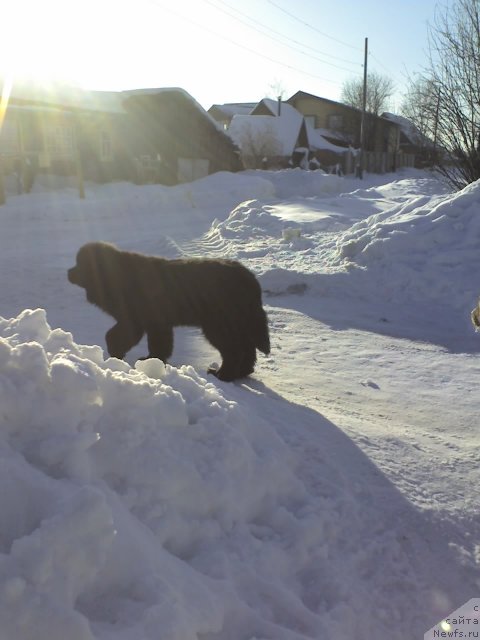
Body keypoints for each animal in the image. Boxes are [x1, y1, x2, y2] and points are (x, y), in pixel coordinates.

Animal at [67, 240, 270, 380]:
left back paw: (223, 375)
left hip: (218, 325)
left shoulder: (140, 321)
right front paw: (150, 361)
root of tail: (250, 279)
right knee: (247, 349)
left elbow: (116, 336)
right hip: (239, 323)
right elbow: (155, 344)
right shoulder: (151, 323)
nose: (69, 272)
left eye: (81, 264)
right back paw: (242, 373)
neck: (118, 277)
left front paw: (124, 356)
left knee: (235, 350)